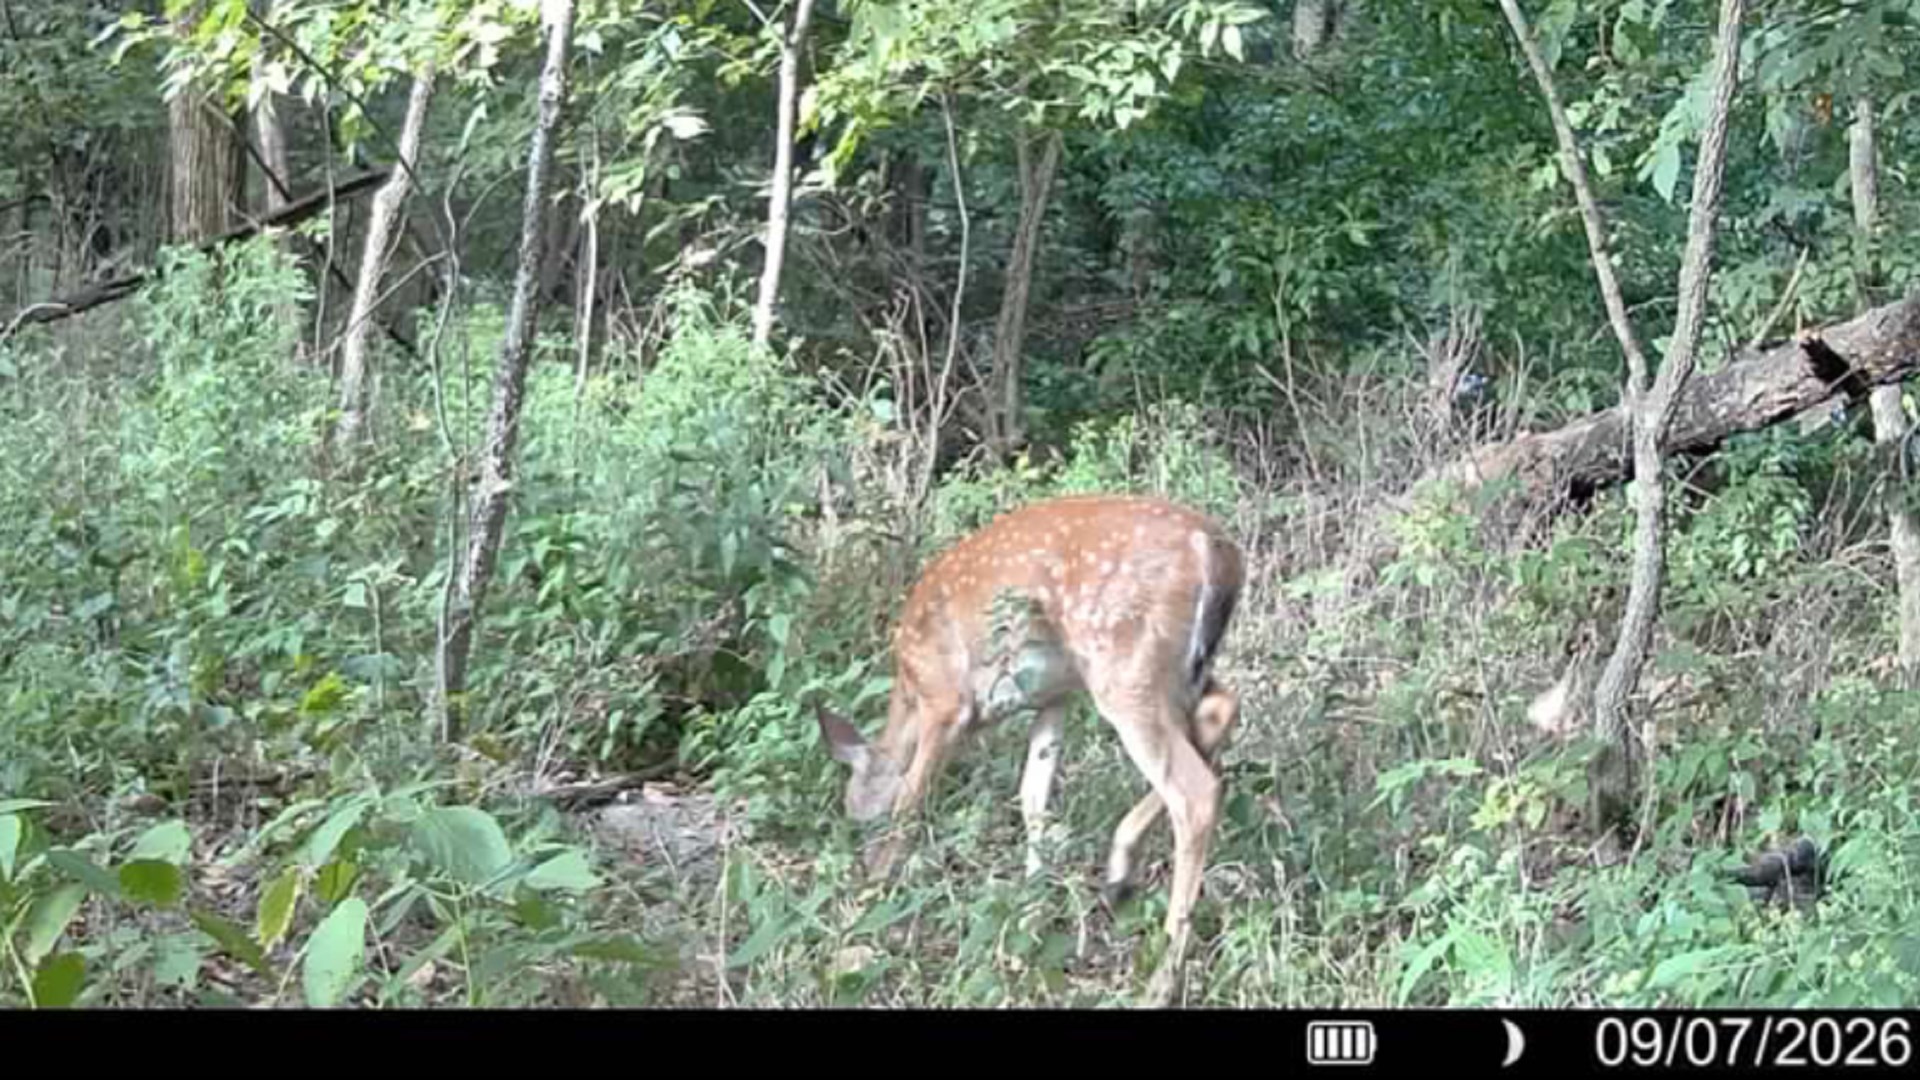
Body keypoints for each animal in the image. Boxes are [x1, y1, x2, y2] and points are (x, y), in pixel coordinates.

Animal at [814, 493, 1244, 1007]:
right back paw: (1119, 875)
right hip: (1177, 671)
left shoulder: (945, 700)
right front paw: (1030, 911)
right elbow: (1033, 797)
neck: (909, 691)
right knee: (1222, 709)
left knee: (1196, 790)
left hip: (1124, 661)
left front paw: (873, 897)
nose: (860, 853)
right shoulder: (1053, 698)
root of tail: (1213, 548)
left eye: (861, 818)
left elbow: (911, 798)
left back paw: (1160, 981)